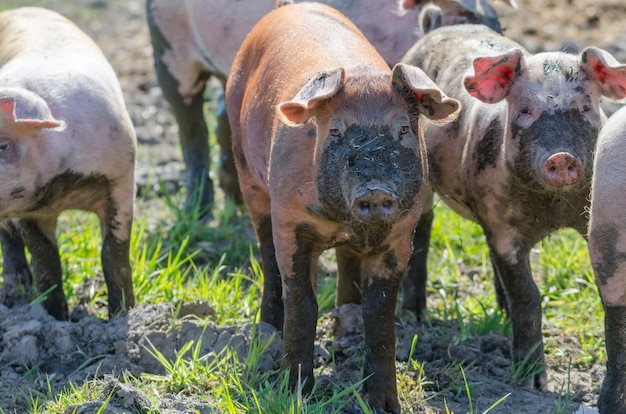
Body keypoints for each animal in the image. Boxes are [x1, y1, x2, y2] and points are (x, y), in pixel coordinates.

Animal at [0, 8, 135, 322]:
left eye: (3, 146)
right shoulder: (27, 211)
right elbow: (46, 261)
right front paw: (55, 319)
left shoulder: (122, 176)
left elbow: (113, 253)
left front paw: (123, 315)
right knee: (9, 241)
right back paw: (15, 295)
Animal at [146, 0, 512, 220]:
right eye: (458, 21)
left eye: (498, 25)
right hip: (168, 43)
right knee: (191, 126)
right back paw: (198, 212)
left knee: (224, 118)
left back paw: (233, 200)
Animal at [224, 2, 458, 410]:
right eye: (335, 131)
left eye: (403, 129)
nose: (375, 190)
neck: (342, 220)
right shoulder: (290, 225)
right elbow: (303, 303)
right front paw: (294, 394)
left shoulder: (399, 238)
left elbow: (380, 316)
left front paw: (383, 405)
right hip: (247, 173)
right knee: (266, 256)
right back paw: (267, 330)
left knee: (347, 266)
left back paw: (342, 330)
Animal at [398, 22, 624, 390]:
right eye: (525, 110)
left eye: (586, 107)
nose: (561, 156)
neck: (551, 208)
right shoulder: (503, 231)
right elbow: (527, 296)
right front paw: (534, 384)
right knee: (422, 233)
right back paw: (415, 317)